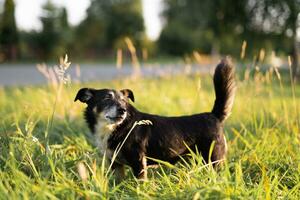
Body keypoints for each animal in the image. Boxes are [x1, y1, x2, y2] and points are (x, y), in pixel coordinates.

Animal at [74, 58, 236, 180]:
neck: (117, 128)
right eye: (107, 98)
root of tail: (213, 115)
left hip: (214, 160)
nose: (122, 110)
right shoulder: (115, 165)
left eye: (124, 101)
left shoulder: (139, 162)